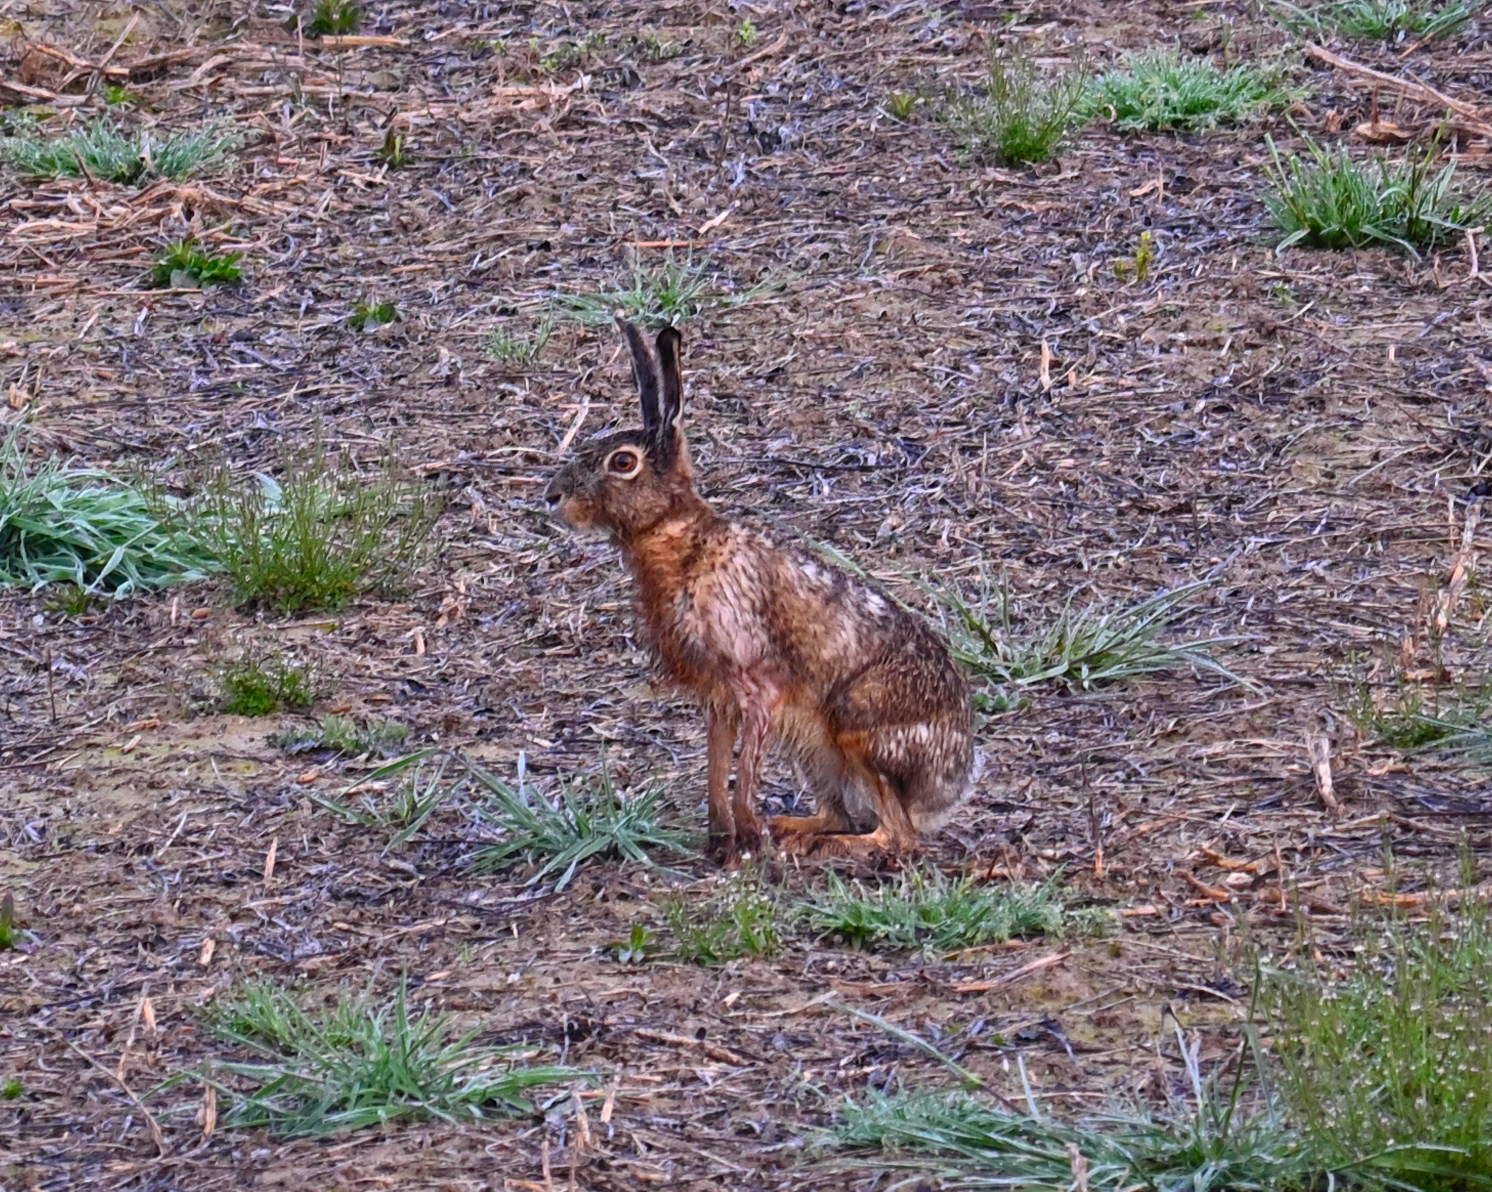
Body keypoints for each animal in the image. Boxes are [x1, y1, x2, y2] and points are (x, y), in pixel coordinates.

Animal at [544, 318, 976, 863]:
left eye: (622, 463)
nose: (552, 497)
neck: (681, 539)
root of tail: (953, 783)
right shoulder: (717, 696)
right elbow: (715, 765)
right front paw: (719, 841)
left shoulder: (757, 685)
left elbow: (744, 767)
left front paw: (745, 841)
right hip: (815, 752)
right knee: (845, 814)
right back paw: (790, 828)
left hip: (857, 724)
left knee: (896, 836)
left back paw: (812, 845)